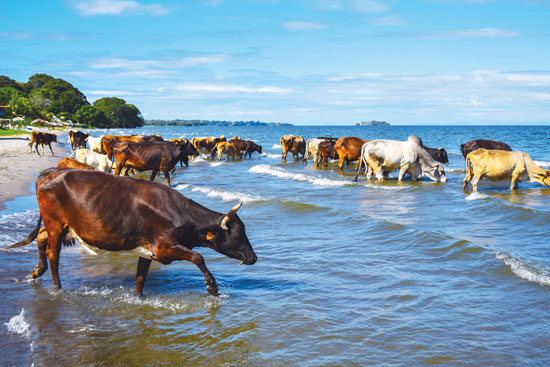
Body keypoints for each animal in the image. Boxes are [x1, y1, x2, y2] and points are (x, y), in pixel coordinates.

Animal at [8, 169, 258, 296]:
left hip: (62, 226)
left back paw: (37, 271)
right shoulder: (165, 247)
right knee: (53, 254)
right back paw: (56, 287)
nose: (253, 257)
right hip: (56, 223)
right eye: (237, 234)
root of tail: (48, 172)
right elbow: (198, 256)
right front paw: (212, 286)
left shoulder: (148, 250)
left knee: (41, 237)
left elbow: (141, 276)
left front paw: (138, 298)